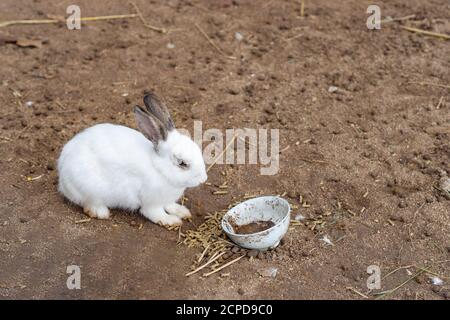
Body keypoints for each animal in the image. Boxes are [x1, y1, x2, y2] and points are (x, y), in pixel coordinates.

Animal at [56, 92, 209, 226]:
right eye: (182, 163)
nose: (203, 179)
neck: (159, 169)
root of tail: (62, 172)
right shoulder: (151, 202)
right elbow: (155, 214)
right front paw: (171, 221)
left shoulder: (167, 200)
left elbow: (170, 205)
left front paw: (182, 211)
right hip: (89, 188)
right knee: (88, 202)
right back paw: (101, 212)